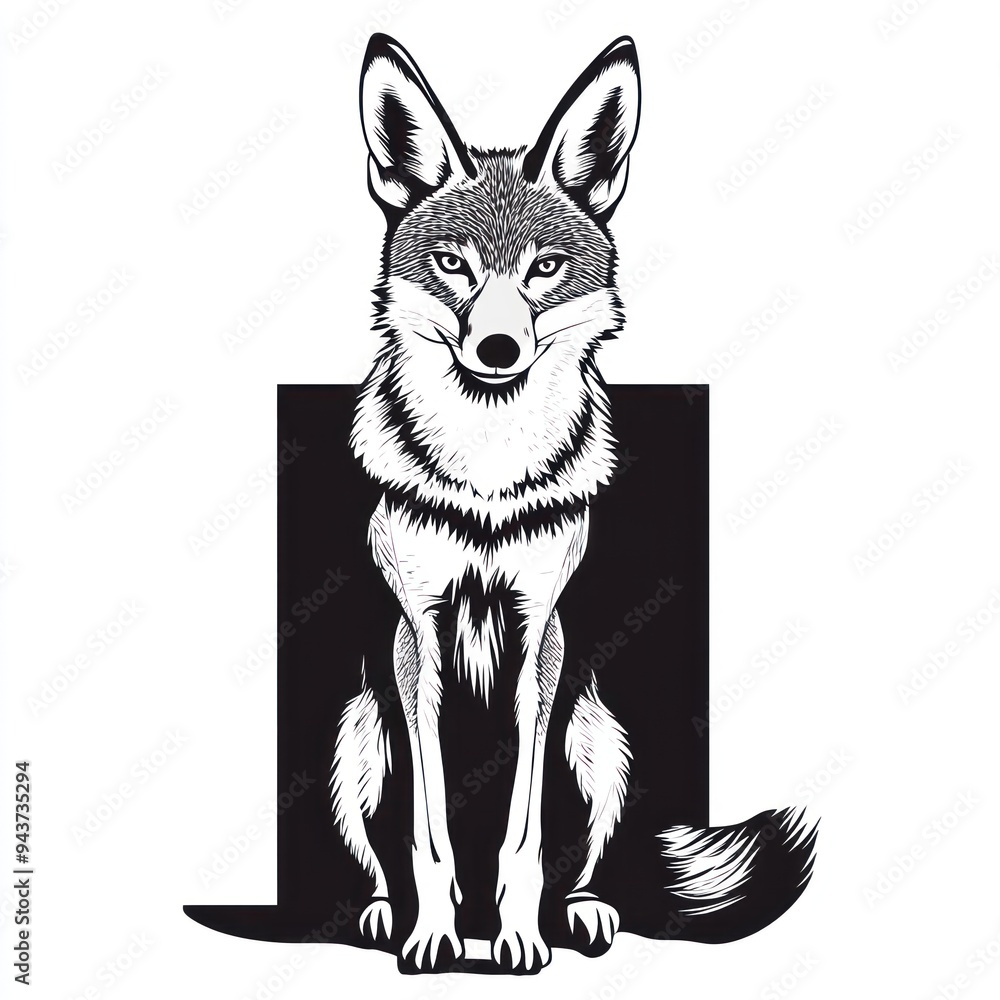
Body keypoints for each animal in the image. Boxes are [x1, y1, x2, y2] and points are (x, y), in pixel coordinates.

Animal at [331, 33, 816, 975]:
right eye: (453, 265)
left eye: (544, 270)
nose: (497, 347)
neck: (487, 475)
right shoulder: (420, 643)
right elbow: (433, 833)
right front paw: (435, 933)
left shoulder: (538, 639)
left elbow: (520, 835)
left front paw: (517, 935)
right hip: (361, 739)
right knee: (376, 850)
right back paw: (380, 913)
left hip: (595, 740)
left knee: (585, 860)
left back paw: (583, 914)